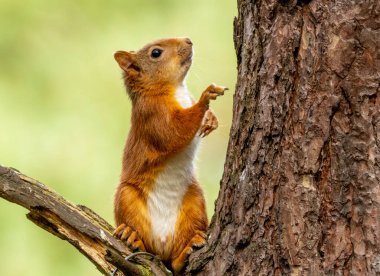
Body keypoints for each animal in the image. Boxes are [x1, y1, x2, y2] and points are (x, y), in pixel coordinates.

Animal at [112, 37, 226, 272]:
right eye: (156, 53)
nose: (188, 40)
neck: (176, 88)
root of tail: (162, 247)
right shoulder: (153, 115)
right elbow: (175, 131)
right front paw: (206, 97)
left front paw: (211, 119)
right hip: (126, 198)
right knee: (142, 240)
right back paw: (131, 236)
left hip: (194, 204)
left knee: (175, 262)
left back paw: (187, 250)